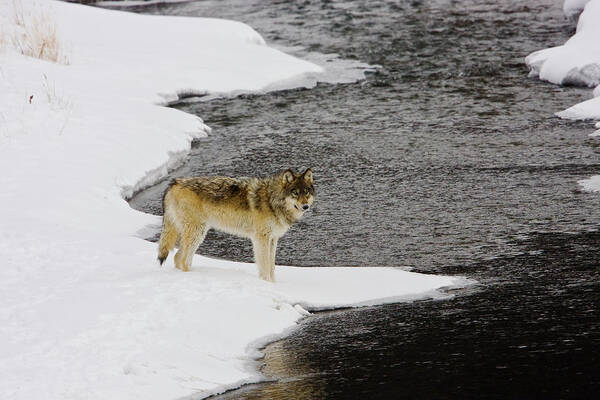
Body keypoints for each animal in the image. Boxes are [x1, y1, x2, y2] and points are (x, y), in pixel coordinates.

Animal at [156, 169, 314, 282]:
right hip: (197, 232)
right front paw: (267, 284)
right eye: (295, 193)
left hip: (198, 234)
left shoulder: (273, 239)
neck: (271, 200)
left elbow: (272, 266)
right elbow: (265, 265)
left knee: (178, 257)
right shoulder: (261, 238)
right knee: (182, 259)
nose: (305, 206)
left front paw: (274, 285)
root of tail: (174, 183)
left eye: (306, 192)